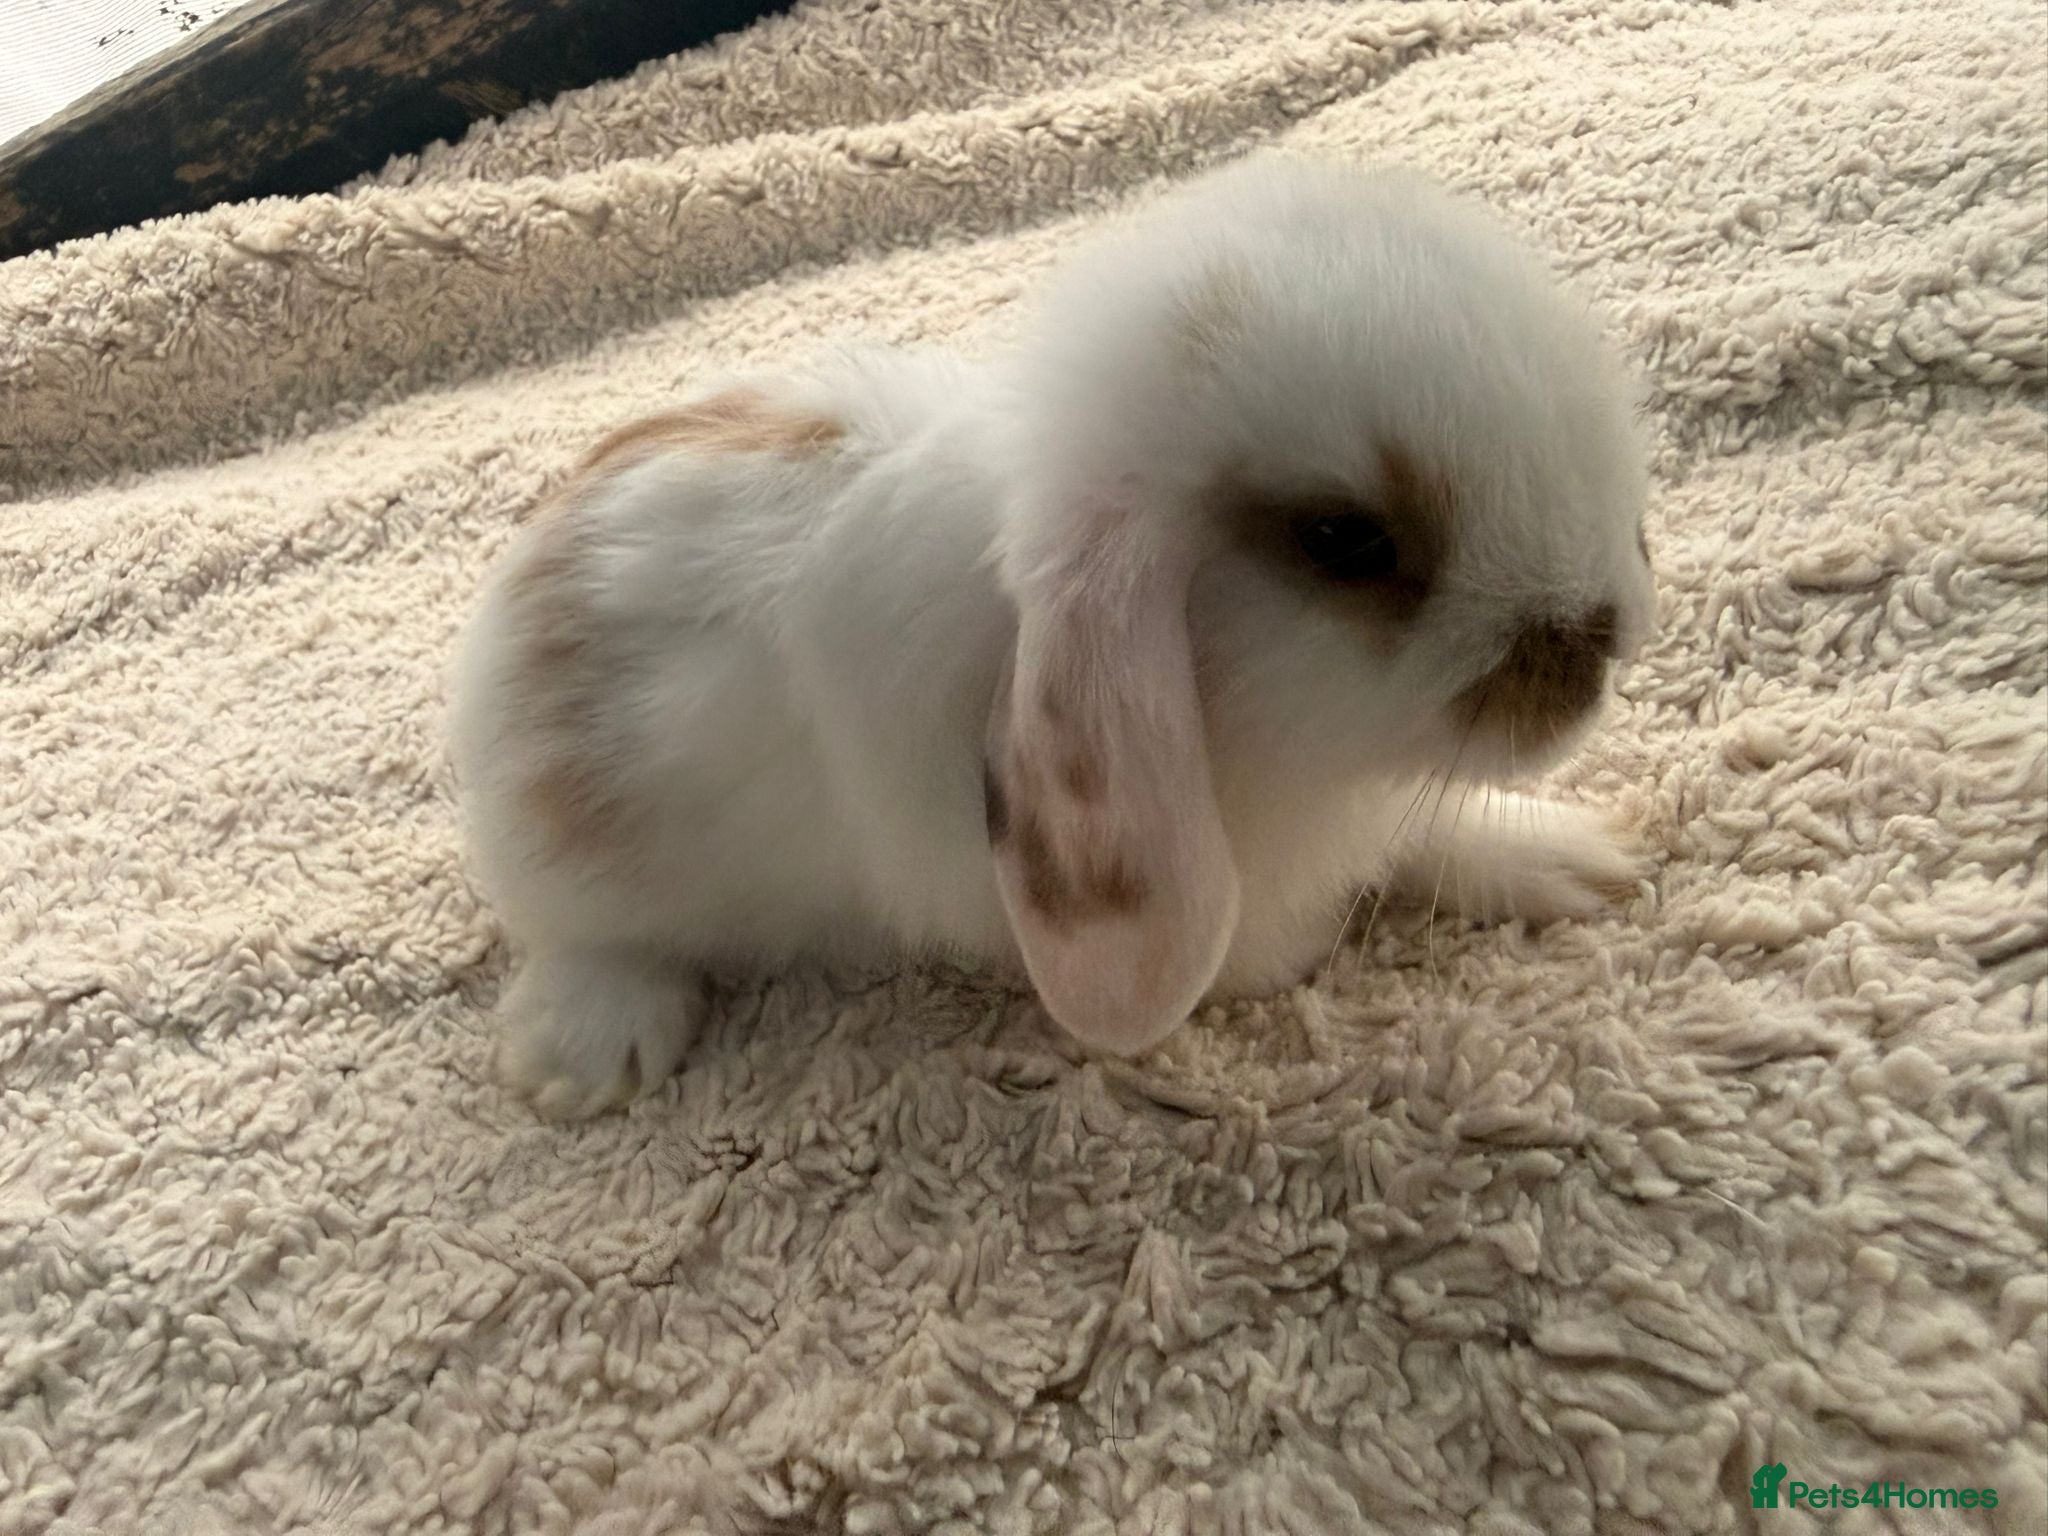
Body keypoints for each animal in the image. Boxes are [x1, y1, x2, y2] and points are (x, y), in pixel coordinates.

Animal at [448, 153, 1658, 1118]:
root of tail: (517, 584)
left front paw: (1581, 860)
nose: (1602, 638)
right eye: (1344, 540)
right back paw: (582, 1059)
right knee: (577, 937)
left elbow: (1425, 834)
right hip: (579, 865)